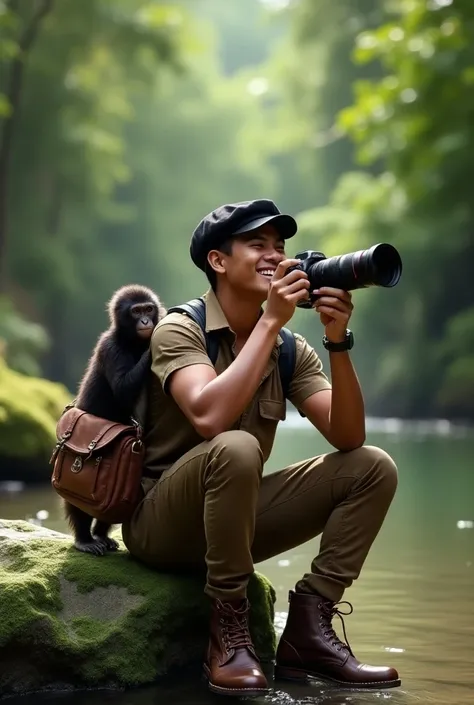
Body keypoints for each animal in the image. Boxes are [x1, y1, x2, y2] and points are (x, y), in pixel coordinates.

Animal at [63, 284, 167, 556]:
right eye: (137, 311)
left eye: (148, 309)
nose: (145, 321)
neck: (130, 341)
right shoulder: (109, 348)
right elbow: (122, 388)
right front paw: (152, 345)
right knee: (77, 502)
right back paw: (84, 538)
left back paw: (101, 534)